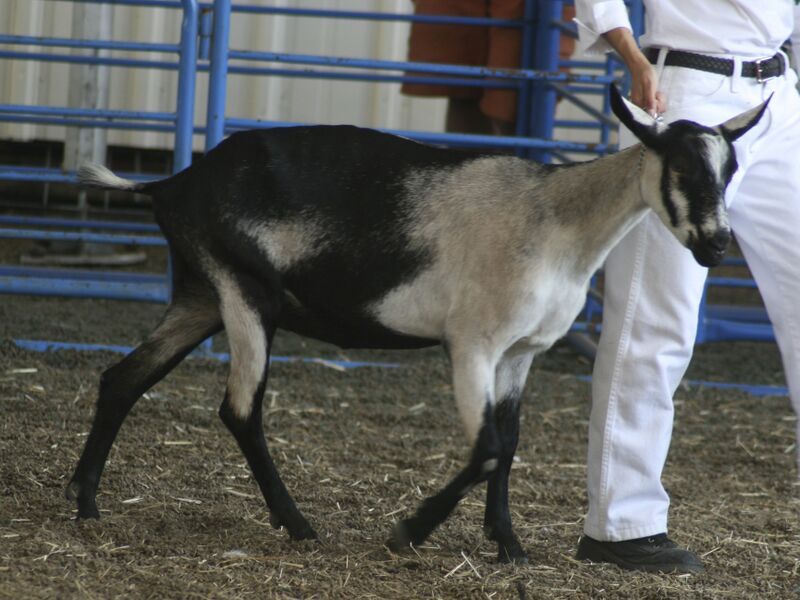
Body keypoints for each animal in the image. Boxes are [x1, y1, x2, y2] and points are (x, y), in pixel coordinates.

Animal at [67, 86, 768, 563]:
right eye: (681, 168)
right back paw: (297, 523)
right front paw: (412, 530)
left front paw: (508, 545)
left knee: (123, 378)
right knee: (239, 409)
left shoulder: (521, 353)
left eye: (731, 171)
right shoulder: (472, 345)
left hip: (201, 297)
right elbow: (487, 447)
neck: (555, 220)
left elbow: (509, 443)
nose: (716, 245)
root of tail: (172, 182)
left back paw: (85, 499)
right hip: (243, 292)